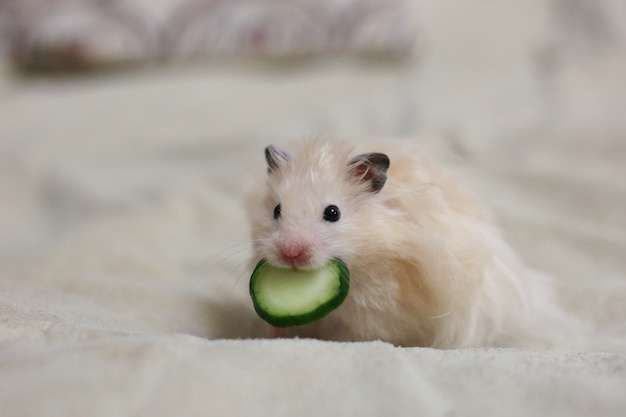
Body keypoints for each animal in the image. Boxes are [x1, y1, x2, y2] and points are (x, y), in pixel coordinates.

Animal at [244, 139, 564, 348]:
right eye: (276, 210)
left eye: (333, 213)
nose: (290, 253)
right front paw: (272, 333)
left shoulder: (380, 313)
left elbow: (358, 333)